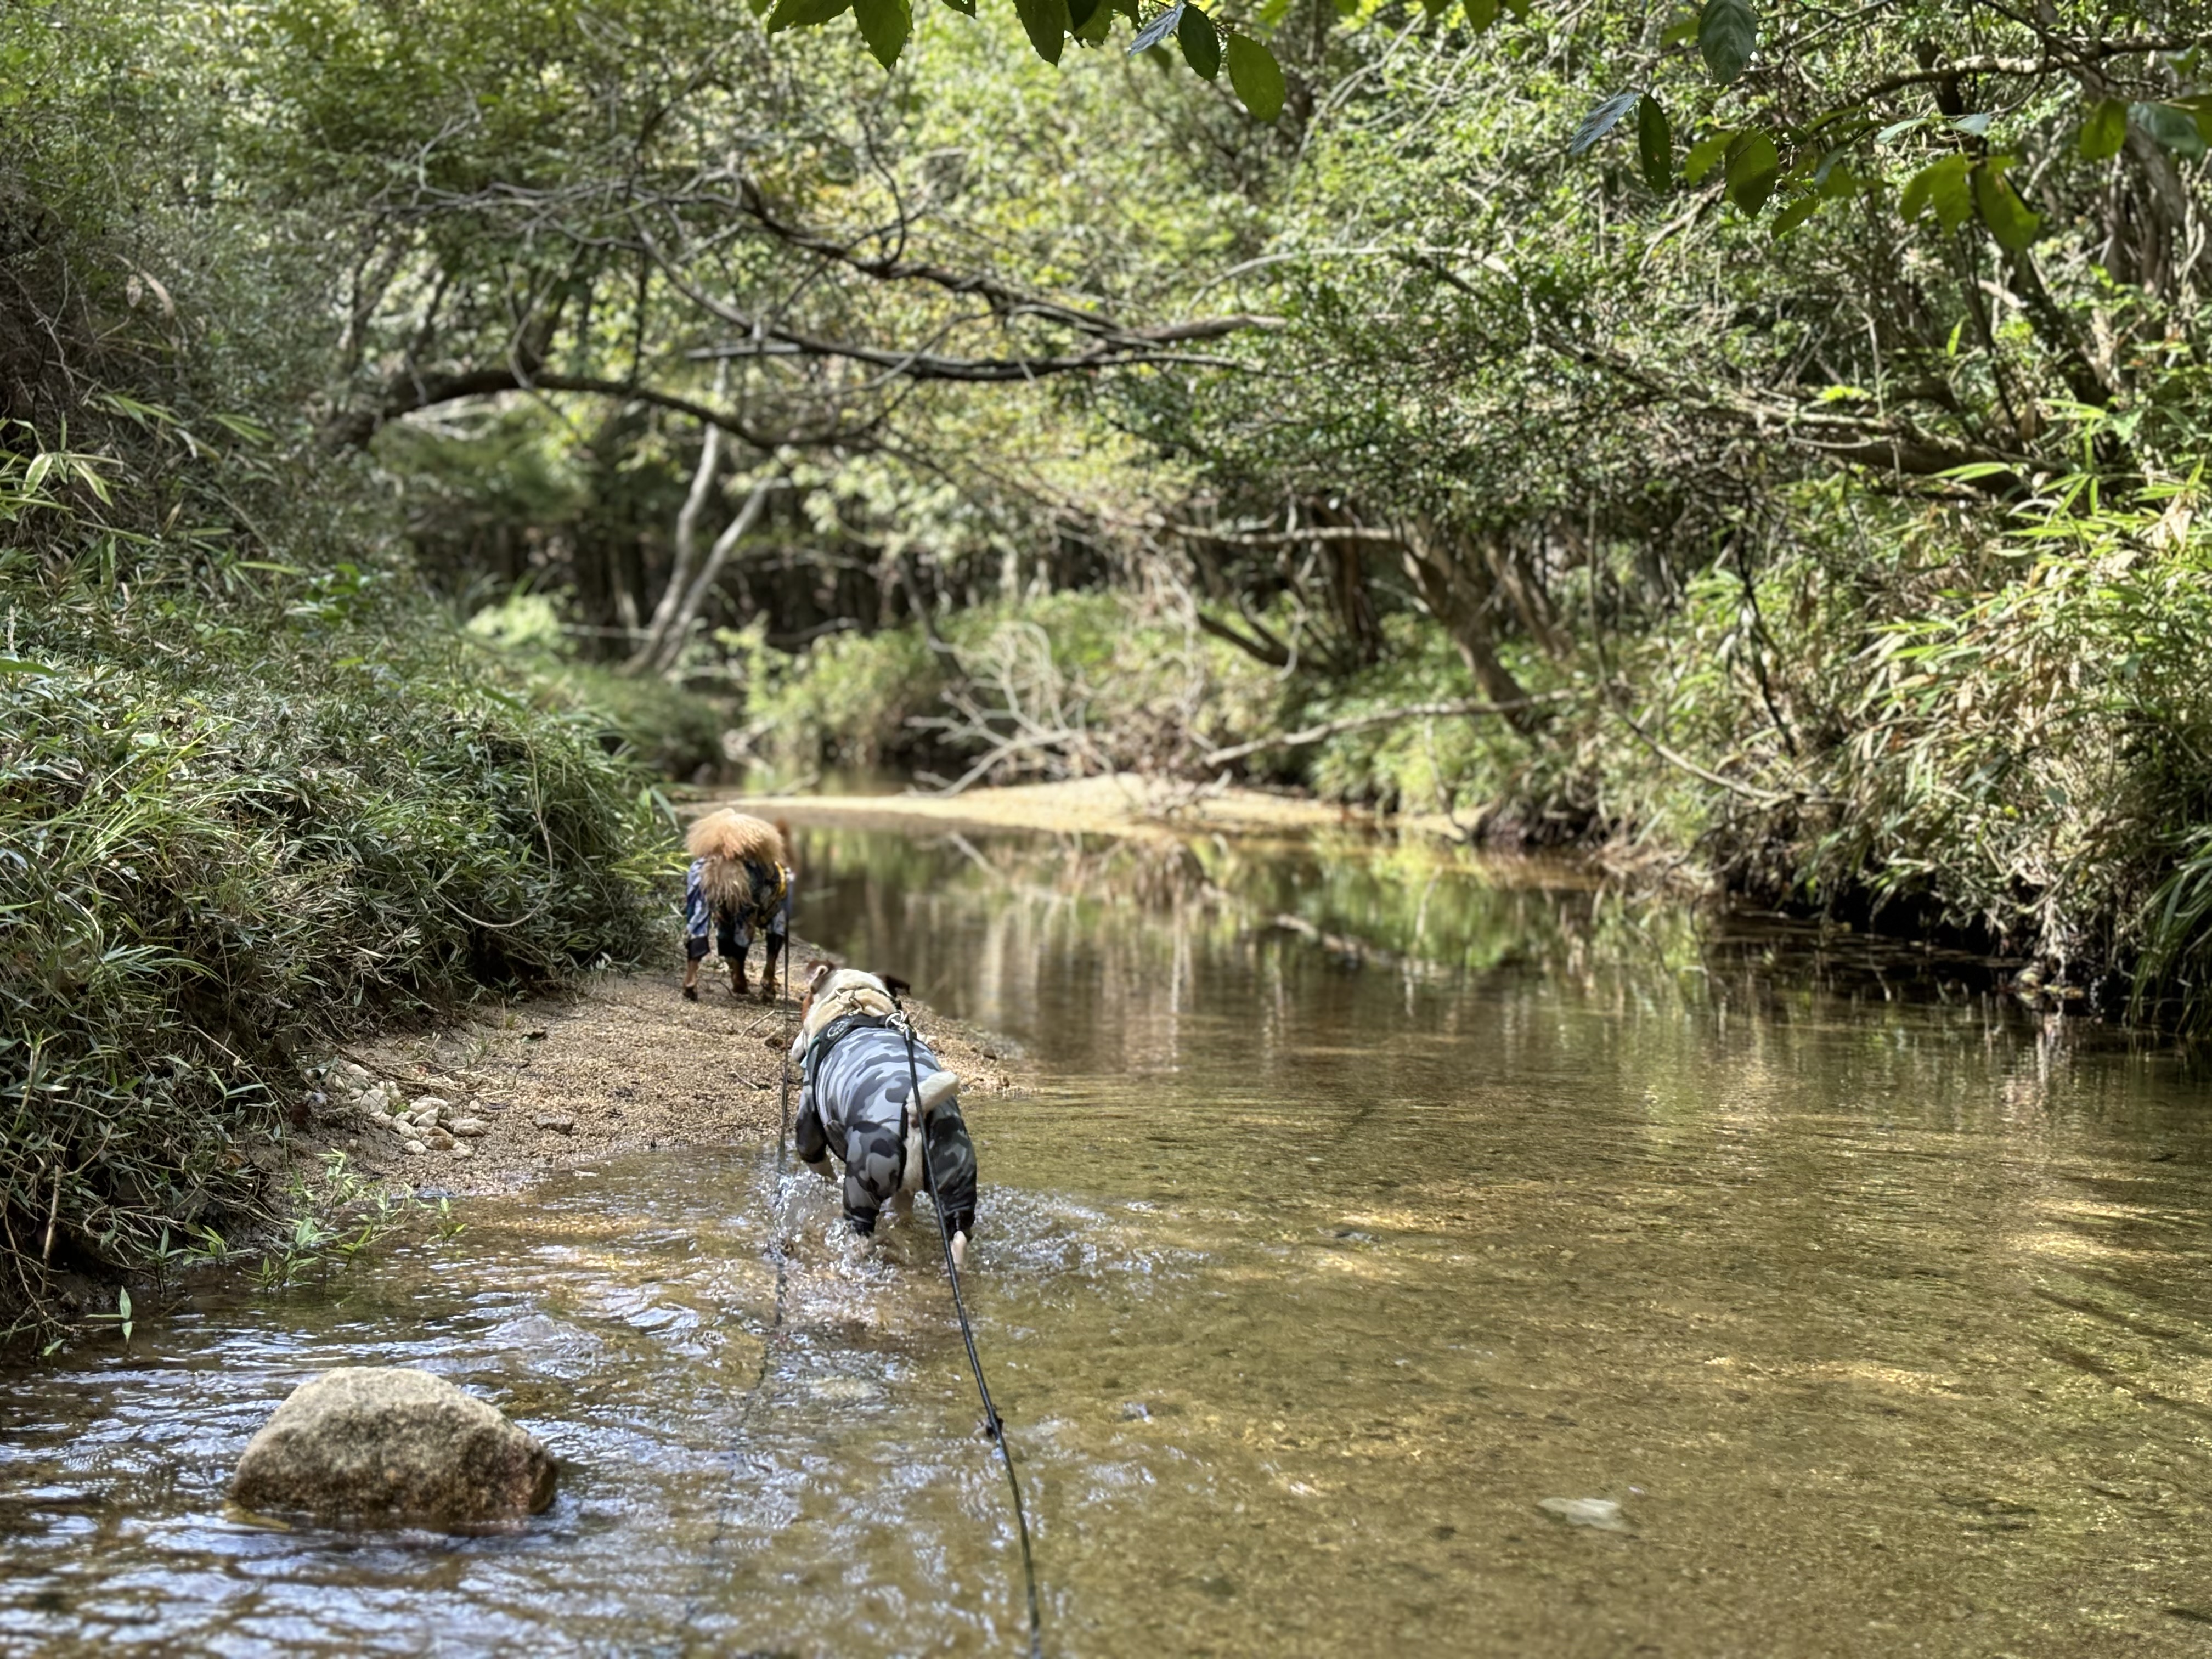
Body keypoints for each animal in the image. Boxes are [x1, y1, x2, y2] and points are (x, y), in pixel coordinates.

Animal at [690, 809, 805, 1000]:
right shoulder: (778, 925)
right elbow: (771, 962)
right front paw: (769, 989)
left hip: (717, 919)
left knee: (710, 951)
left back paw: (691, 988)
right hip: (745, 921)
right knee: (738, 954)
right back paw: (741, 986)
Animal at [787, 969, 978, 1265]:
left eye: (804, 1006)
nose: (793, 1050)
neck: (857, 1005)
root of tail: (915, 1111)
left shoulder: (809, 1121)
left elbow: (818, 1162)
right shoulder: (905, 1189)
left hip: (864, 1184)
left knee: (860, 1230)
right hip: (956, 1176)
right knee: (956, 1231)